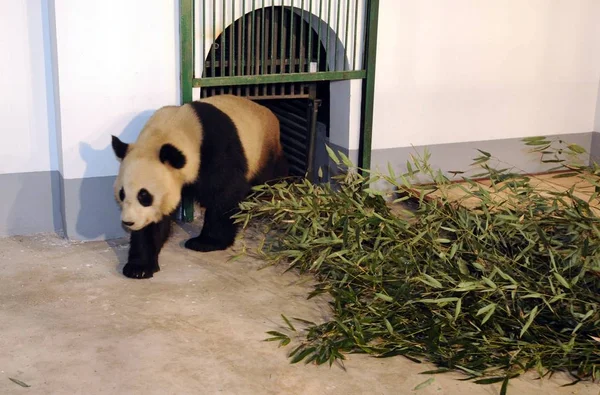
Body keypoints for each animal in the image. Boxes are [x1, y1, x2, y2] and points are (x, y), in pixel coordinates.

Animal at [113, 94, 290, 280]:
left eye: (144, 196)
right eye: (122, 194)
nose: (128, 222)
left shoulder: (217, 150)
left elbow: (225, 193)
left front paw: (206, 242)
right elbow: (153, 222)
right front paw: (139, 267)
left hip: (262, 153)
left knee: (272, 177)